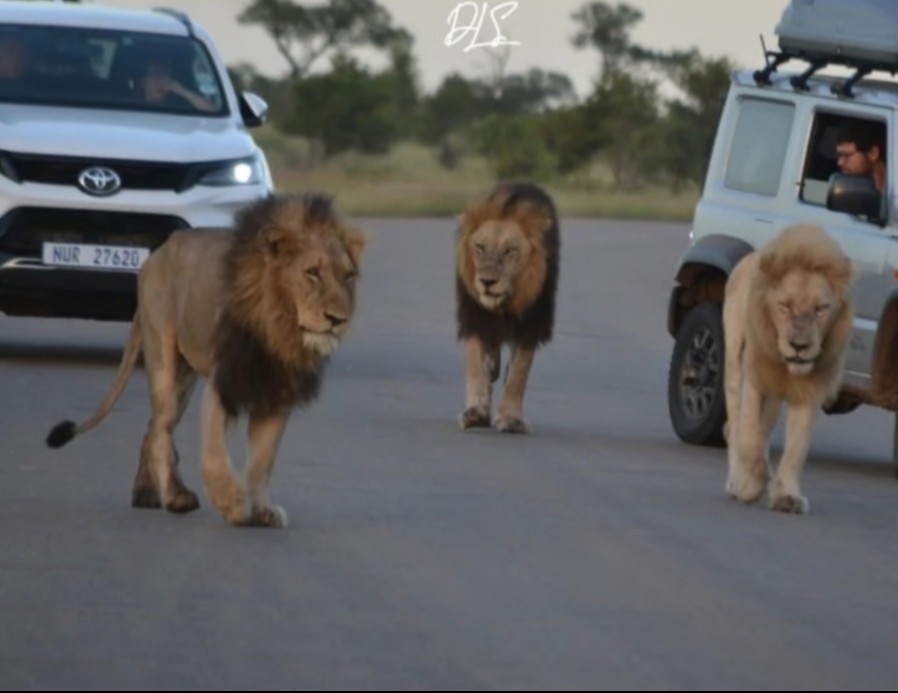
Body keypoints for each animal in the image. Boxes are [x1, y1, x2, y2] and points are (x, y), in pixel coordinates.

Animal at [44, 192, 368, 528]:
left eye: (348, 276)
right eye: (312, 273)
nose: (338, 319)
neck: (279, 328)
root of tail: (156, 256)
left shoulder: (277, 393)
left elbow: (262, 461)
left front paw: (263, 510)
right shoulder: (223, 382)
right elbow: (214, 453)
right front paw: (232, 504)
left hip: (183, 378)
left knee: (153, 427)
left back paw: (145, 493)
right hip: (163, 354)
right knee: (161, 429)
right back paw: (175, 497)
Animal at [456, 181, 560, 430]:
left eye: (510, 251)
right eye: (480, 247)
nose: (487, 282)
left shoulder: (531, 322)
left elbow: (519, 372)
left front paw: (511, 418)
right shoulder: (474, 316)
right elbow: (475, 365)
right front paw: (475, 412)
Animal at [716, 223, 852, 512]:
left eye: (821, 308)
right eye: (785, 306)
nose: (799, 346)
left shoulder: (808, 390)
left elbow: (796, 449)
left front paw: (786, 496)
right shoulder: (754, 381)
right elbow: (749, 439)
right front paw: (749, 485)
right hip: (734, 367)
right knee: (734, 428)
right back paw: (736, 481)